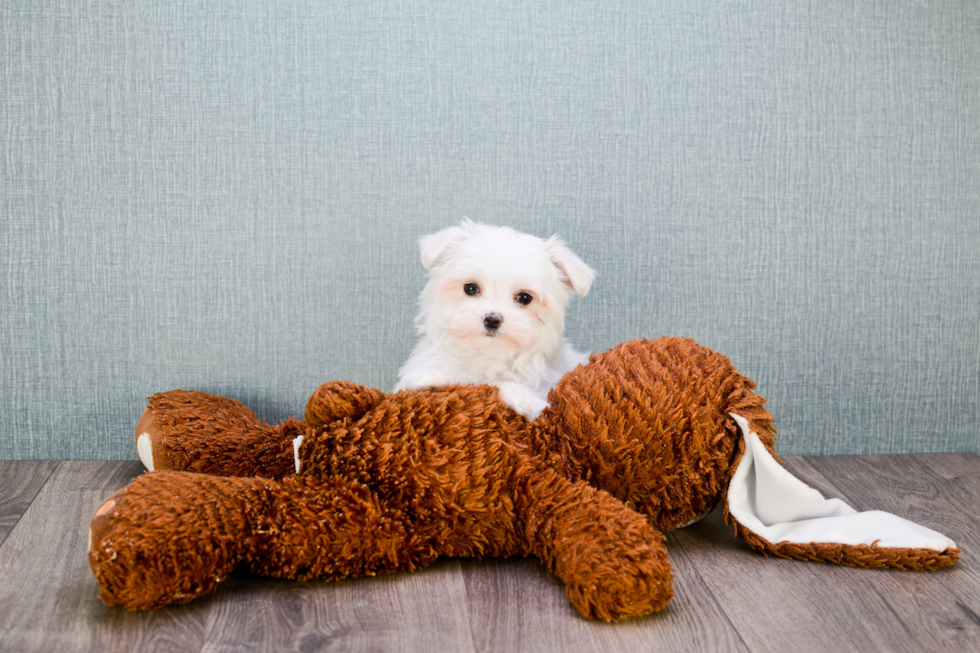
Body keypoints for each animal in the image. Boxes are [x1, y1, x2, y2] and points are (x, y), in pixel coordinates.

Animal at [392, 219, 592, 418]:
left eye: (524, 298)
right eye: (470, 288)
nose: (492, 319)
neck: (487, 355)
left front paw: (525, 399)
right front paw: (427, 380)